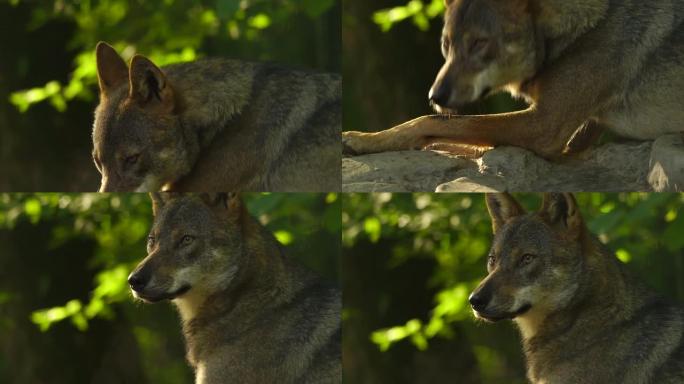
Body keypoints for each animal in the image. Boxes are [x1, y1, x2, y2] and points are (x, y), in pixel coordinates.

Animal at [344, 0, 684, 158]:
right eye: (446, 44)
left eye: (478, 43)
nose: (435, 96)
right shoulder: (577, 139)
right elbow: (448, 135)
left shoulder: (543, 126)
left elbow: (427, 121)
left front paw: (362, 139)